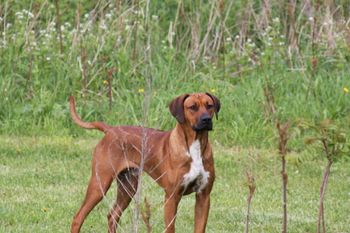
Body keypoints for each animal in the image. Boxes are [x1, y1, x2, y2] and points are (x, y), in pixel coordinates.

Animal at [69, 93, 220, 233]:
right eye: (192, 107)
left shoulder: (203, 196)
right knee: (78, 217)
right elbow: (170, 228)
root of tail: (111, 130)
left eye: (209, 105)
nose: (206, 119)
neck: (195, 146)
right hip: (100, 183)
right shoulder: (171, 197)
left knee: (112, 216)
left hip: (128, 186)